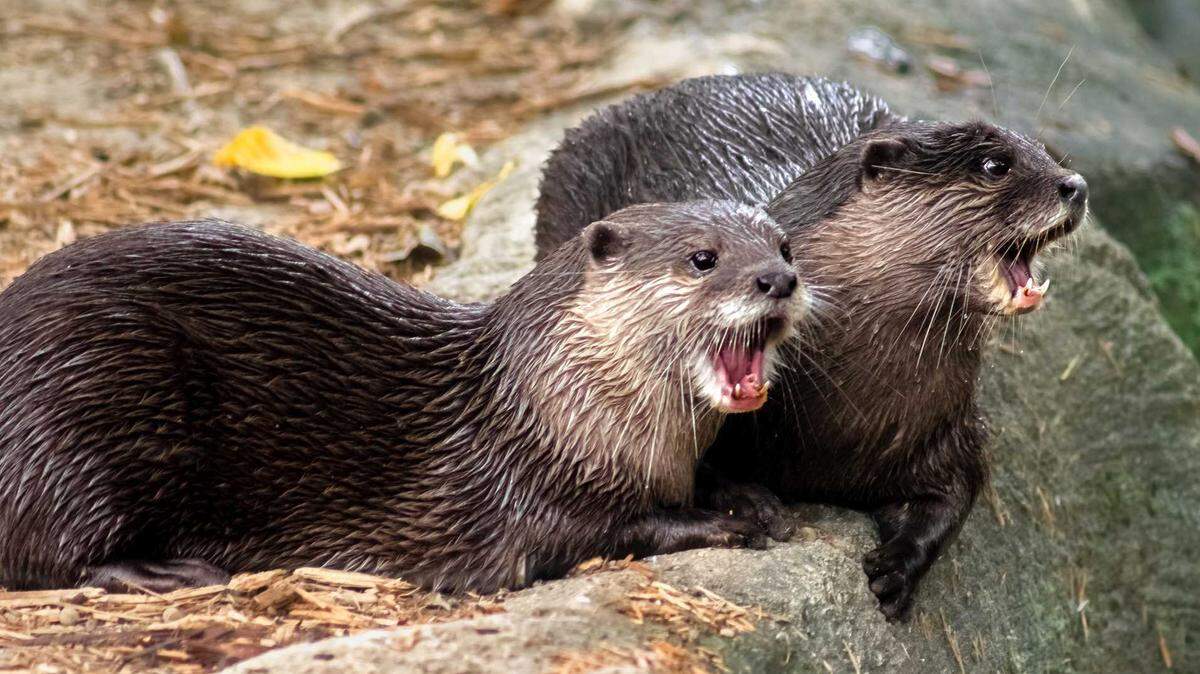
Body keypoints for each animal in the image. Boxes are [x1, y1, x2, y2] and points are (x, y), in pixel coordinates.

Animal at [0, 200, 805, 593]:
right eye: (702, 258)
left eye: (785, 246)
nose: (778, 279)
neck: (551, 411)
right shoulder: (525, 495)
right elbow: (606, 531)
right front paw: (719, 522)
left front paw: (748, 496)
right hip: (78, 405)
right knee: (43, 552)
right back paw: (162, 571)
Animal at [534, 74, 1088, 620]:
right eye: (995, 165)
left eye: (1046, 152)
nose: (1076, 186)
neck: (854, 411)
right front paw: (752, 505)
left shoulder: (950, 425)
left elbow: (955, 496)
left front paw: (895, 567)